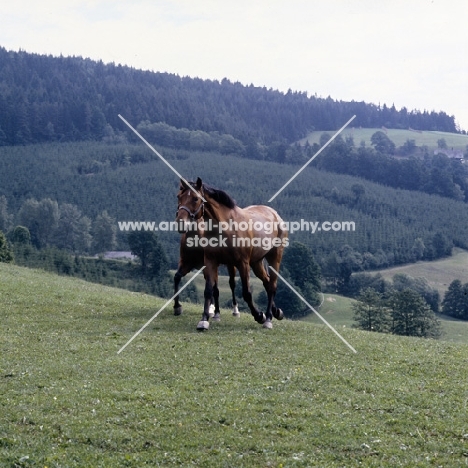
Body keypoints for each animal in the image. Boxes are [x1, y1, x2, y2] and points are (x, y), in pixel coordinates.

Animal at [175, 177, 288, 330]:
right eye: (178, 197)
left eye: (195, 199)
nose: (180, 223)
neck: (226, 226)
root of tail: (275, 214)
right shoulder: (210, 261)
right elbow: (209, 290)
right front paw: (204, 320)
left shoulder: (242, 264)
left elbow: (246, 293)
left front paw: (259, 315)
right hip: (256, 263)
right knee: (267, 281)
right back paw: (276, 312)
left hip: (274, 258)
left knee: (272, 285)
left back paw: (269, 318)